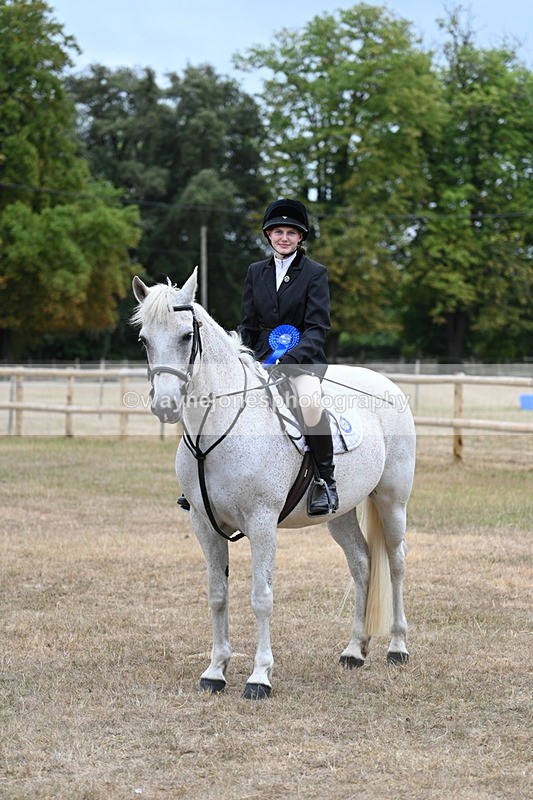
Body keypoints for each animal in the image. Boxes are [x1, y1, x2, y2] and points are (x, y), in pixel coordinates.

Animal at [131, 269, 416, 699]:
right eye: (144, 339)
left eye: (185, 336)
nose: (164, 406)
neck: (218, 431)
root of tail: (387, 384)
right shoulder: (204, 524)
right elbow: (217, 595)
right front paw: (215, 671)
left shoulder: (262, 523)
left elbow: (261, 597)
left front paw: (259, 677)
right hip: (342, 512)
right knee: (362, 563)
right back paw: (354, 650)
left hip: (391, 500)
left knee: (396, 563)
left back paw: (398, 647)